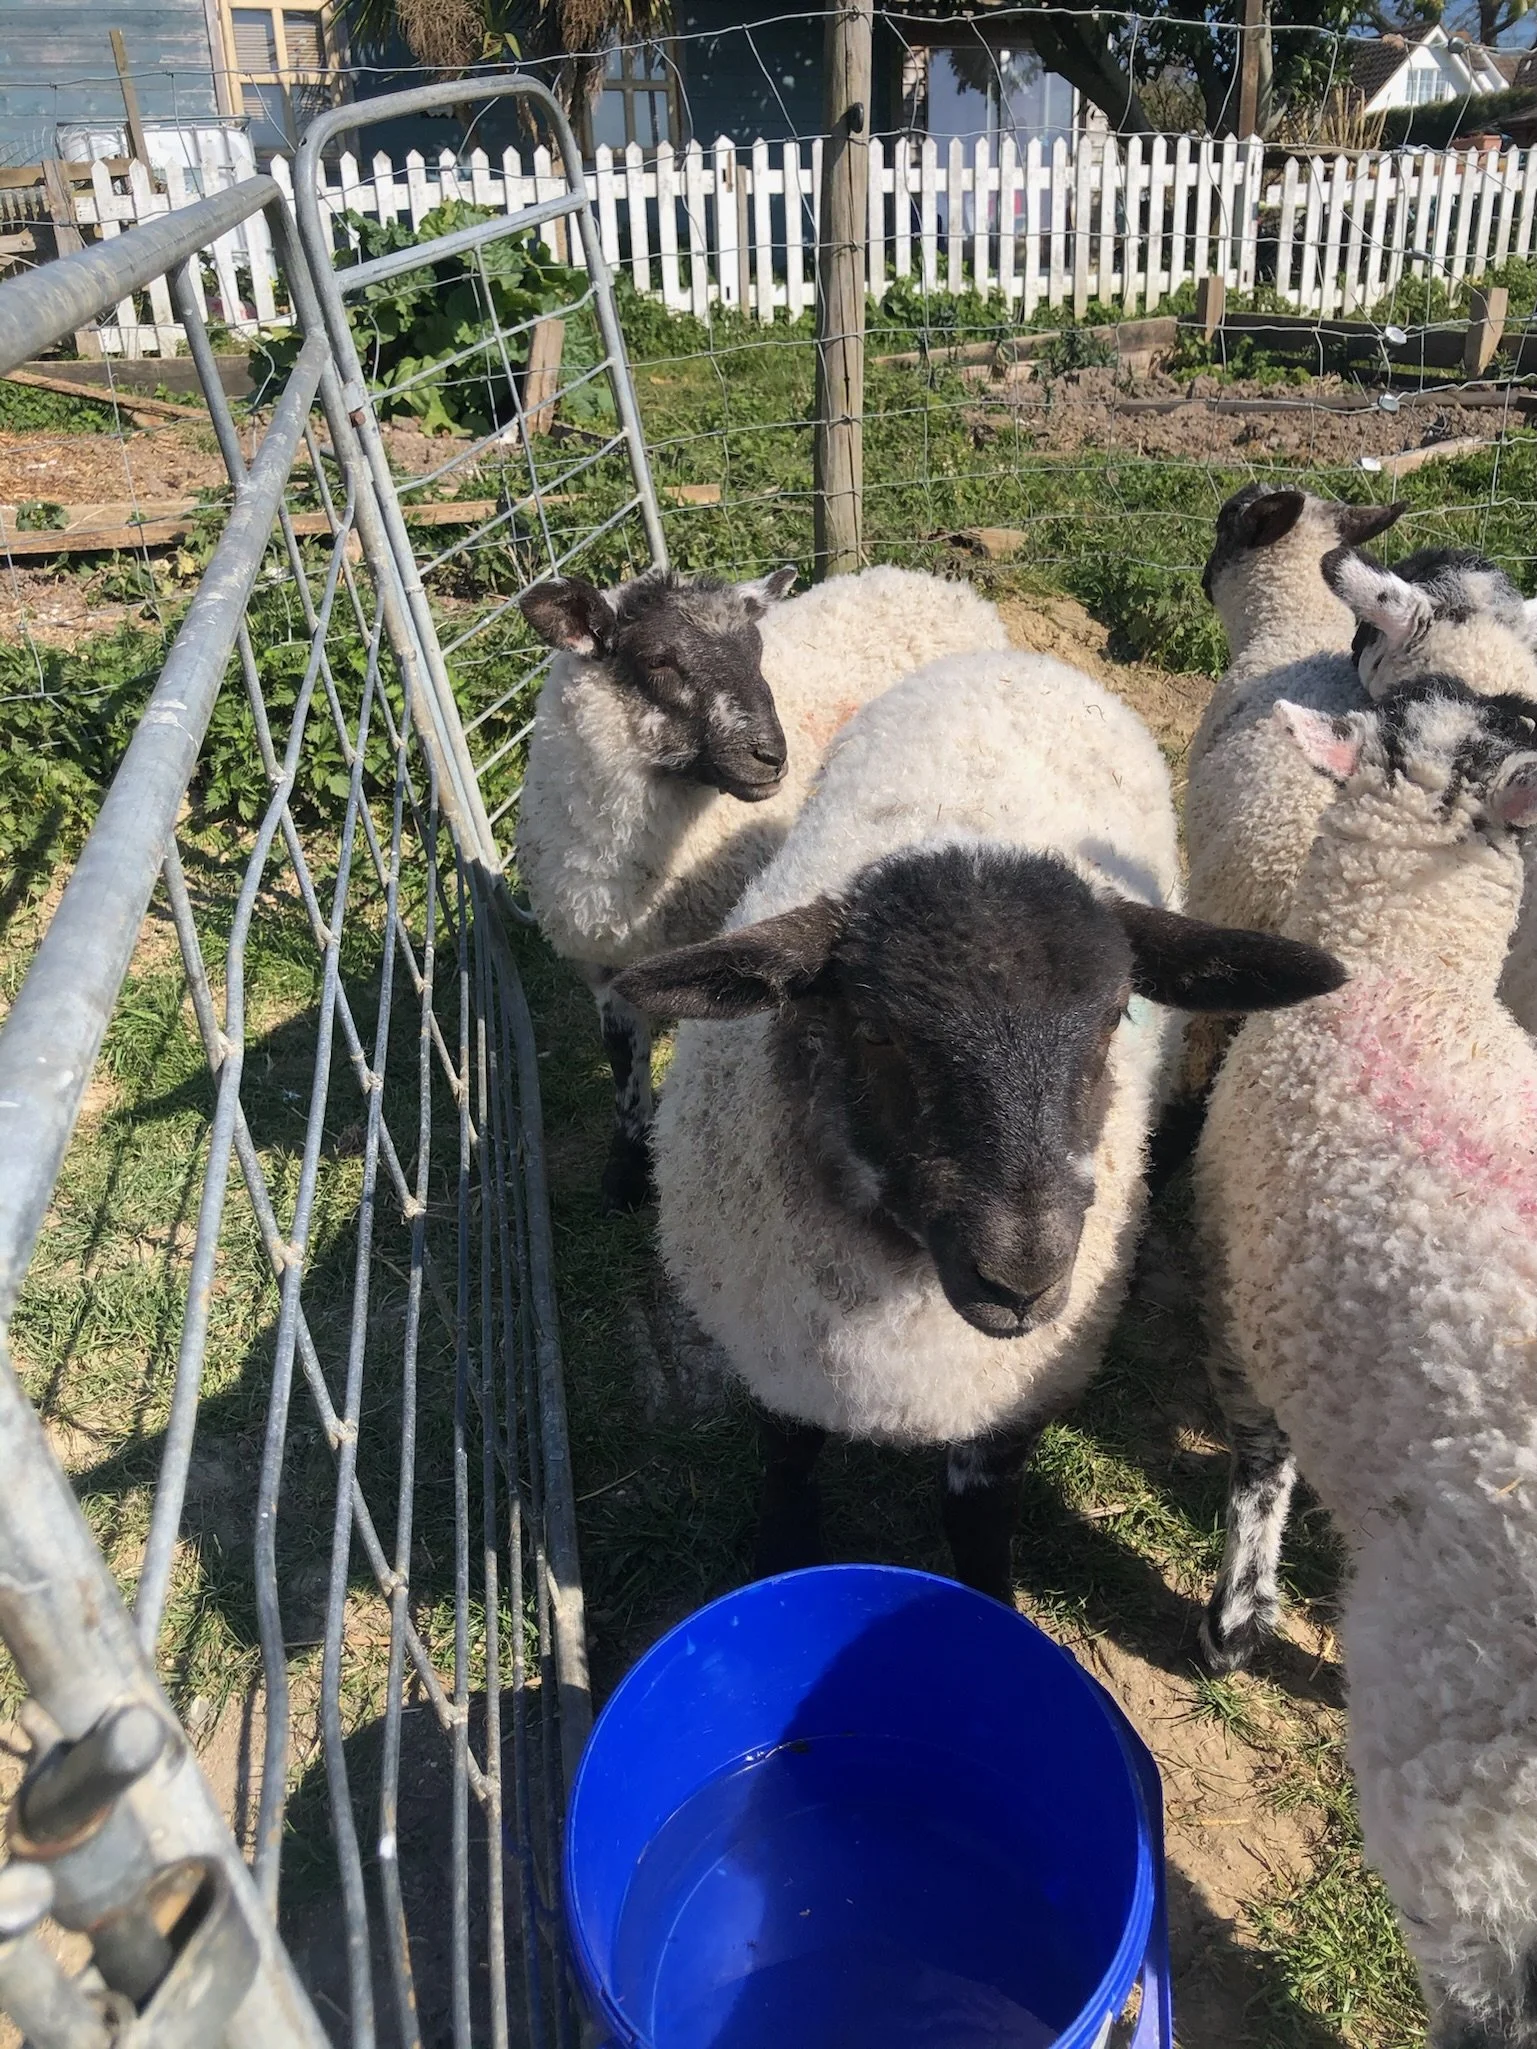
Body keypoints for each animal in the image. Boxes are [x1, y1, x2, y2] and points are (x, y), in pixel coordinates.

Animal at [514, 563, 1011, 1210]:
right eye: (658, 660)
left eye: (757, 652)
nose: (771, 757)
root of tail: (931, 580)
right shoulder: (601, 961)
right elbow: (623, 1066)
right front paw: (624, 1171)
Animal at [612, 649, 1343, 1598]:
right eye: (875, 1029)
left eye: (1114, 1016)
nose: (1023, 1277)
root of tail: (1020, 659)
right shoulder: (778, 1360)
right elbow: (788, 1473)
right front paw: (777, 1556)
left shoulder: (1008, 1398)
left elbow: (976, 1518)